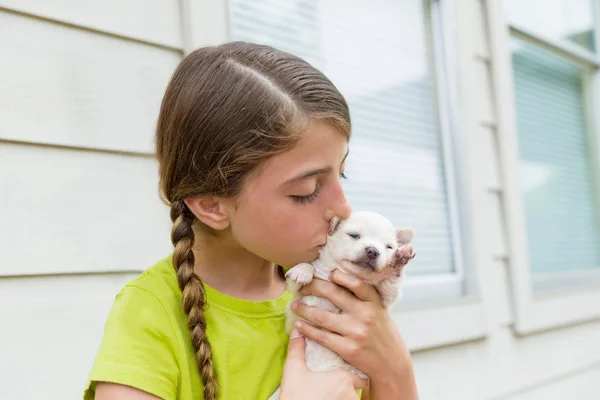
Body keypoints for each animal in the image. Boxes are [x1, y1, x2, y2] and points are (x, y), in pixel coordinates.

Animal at [270, 211, 414, 398]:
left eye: (388, 247)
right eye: (354, 235)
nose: (373, 251)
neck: (347, 273)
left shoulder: (385, 296)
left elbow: (390, 282)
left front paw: (398, 261)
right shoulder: (298, 294)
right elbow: (305, 270)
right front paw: (302, 270)